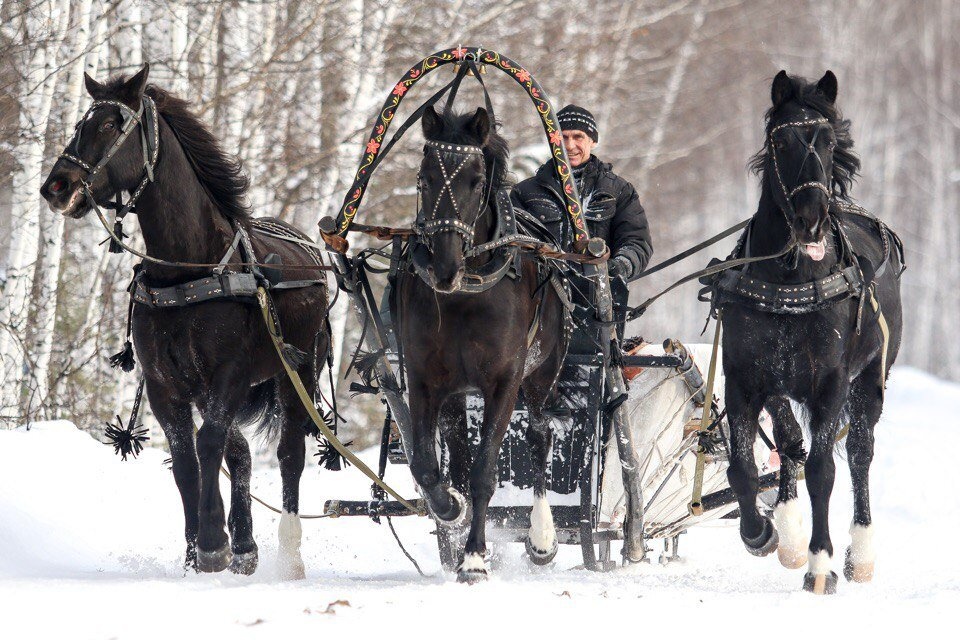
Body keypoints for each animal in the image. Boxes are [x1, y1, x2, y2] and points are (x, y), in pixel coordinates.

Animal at [40, 66, 330, 580]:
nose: (57, 187)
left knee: (289, 455)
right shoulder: (165, 385)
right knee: (241, 453)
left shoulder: (228, 375)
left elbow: (208, 444)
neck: (189, 270)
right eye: (80, 123)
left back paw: (289, 556)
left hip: (297, 375)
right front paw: (198, 551)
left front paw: (213, 542)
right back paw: (246, 546)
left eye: (112, 124)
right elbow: (184, 461)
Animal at [398, 107, 568, 584]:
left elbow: (484, 472)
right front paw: (449, 509)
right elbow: (427, 466)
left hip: (542, 373)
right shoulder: (424, 380)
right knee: (456, 452)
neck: (466, 295)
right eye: (423, 178)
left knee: (540, 434)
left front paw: (474, 557)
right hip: (458, 394)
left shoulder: (503, 381)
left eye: (476, 180)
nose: (444, 267)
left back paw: (542, 538)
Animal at [724, 71, 904, 596]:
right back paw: (787, 533)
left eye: (826, 141)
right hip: (780, 385)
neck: (791, 279)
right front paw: (761, 533)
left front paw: (820, 563)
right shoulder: (745, 379)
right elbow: (743, 467)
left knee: (860, 454)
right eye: (780, 141)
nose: (810, 218)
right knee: (788, 443)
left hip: (870, 383)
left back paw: (860, 553)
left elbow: (825, 471)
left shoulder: (831, 384)